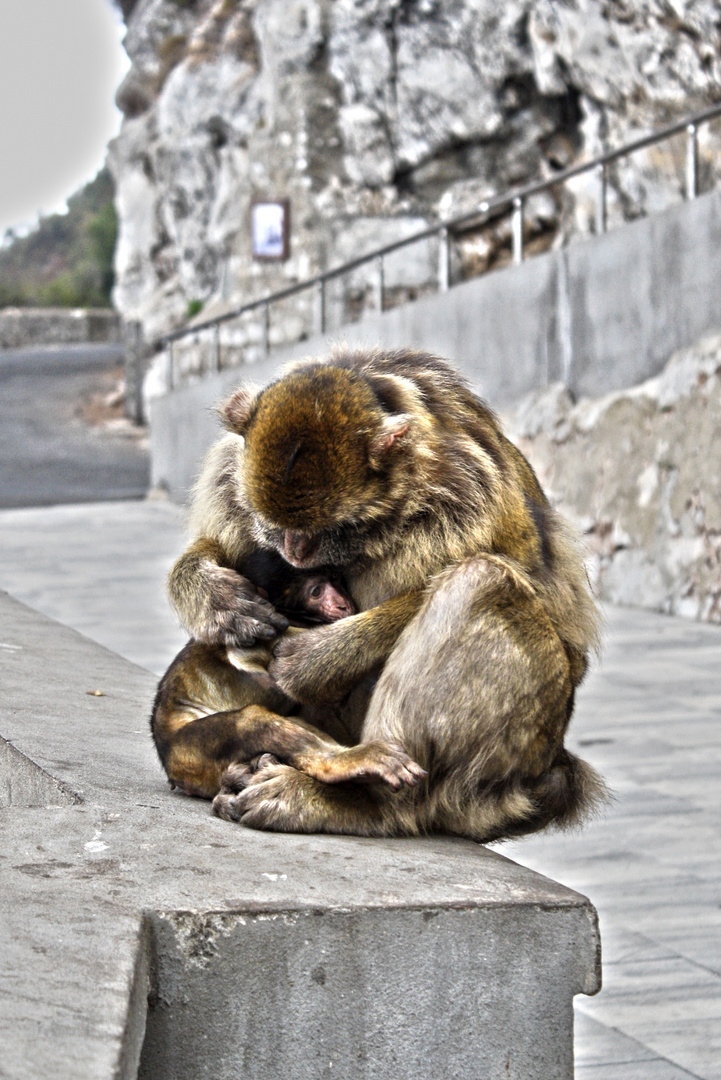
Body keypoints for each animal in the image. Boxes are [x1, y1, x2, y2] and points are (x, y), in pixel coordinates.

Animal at [167, 349, 604, 838]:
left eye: (328, 529)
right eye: (275, 525)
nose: (295, 551)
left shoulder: (474, 490)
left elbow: (545, 597)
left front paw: (318, 658)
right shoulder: (228, 478)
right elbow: (223, 549)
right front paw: (211, 594)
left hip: (520, 750)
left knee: (482, 581)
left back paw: (364, 801)